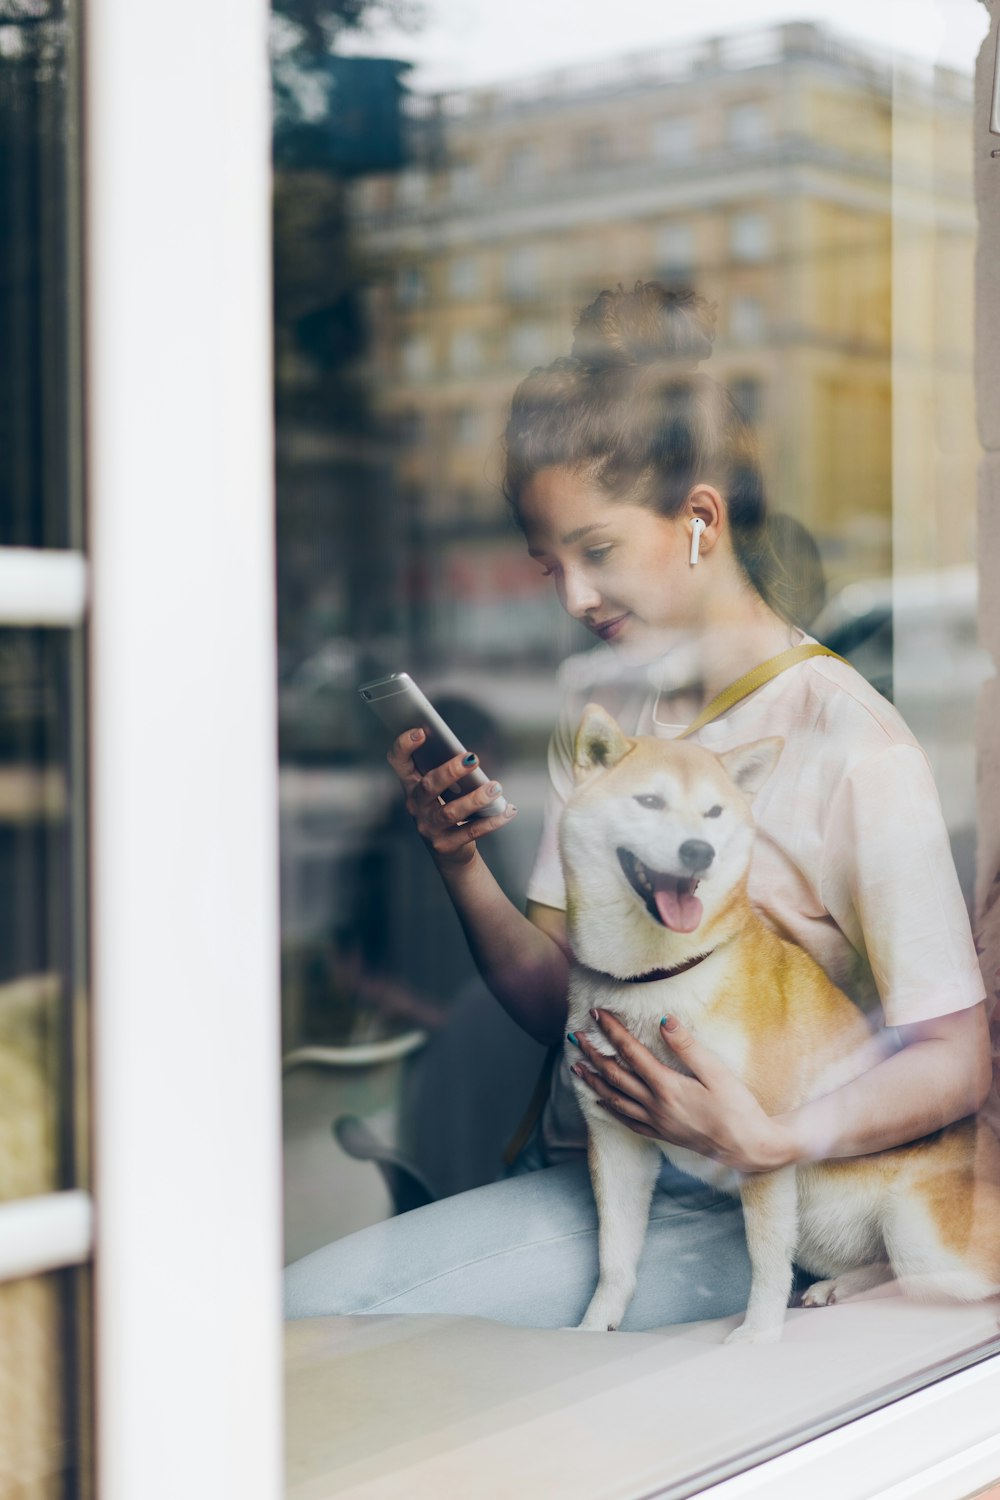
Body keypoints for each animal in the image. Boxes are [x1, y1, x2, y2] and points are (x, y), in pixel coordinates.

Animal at [563, 702, 1000, 1350]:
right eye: (649, 802)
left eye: (714, 813)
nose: (698, 851)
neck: (654, 975)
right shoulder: (615, 1142)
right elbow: (614, 1260)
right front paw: (593, 1330)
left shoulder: (757, 1141)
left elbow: (766, 1262)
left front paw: (759, 1335)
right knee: (882, 1270)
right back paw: (838, 1288)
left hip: (919, 1235)